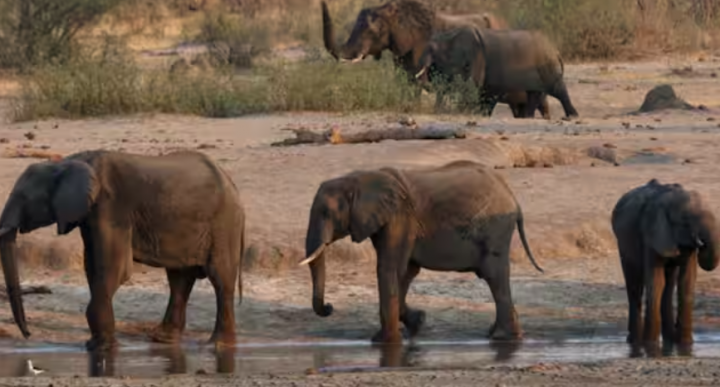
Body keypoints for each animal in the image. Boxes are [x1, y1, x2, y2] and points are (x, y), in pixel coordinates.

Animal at [0, 150, 246, 354]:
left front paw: (101, 348)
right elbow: (93, 265)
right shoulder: (91, 214)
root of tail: (232, 183)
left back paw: (218, 345)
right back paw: (163, 339)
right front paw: (96, 344)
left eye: (24, 198)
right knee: (179, 278)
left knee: (220, 279)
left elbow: (115, 268)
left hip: (224, 224)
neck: (67, 162)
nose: (28, 335)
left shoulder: (110, 207)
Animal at [296, 160, 540, 346]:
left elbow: (389, 268)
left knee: (493, 274)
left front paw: (385, 342)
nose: (329, 307)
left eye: (325, 213)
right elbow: (406, 271)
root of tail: (513, 197)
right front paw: (417, 323)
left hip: (496, 228)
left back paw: (502, 338)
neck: (358, 179)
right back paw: (501, 336)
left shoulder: (399, 218)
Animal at [416, 26, 580, 119]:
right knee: (533, 94)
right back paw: (527, 117)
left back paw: (572, 116)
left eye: (432, 50)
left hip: (547, 67)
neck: (449, 36)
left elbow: (475, 88)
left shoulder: (477, 60)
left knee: (557, 89)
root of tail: (555, 51)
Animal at [608, 179, 720, 346]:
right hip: (623, 242)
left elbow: (686, 282)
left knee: (669, 284)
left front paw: (685, 344)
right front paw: (650, 345)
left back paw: (669, 339)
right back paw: (635, 341)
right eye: (685, 221)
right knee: (635, 284)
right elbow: (656, 281)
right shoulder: (651, 234)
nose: (702, 243)